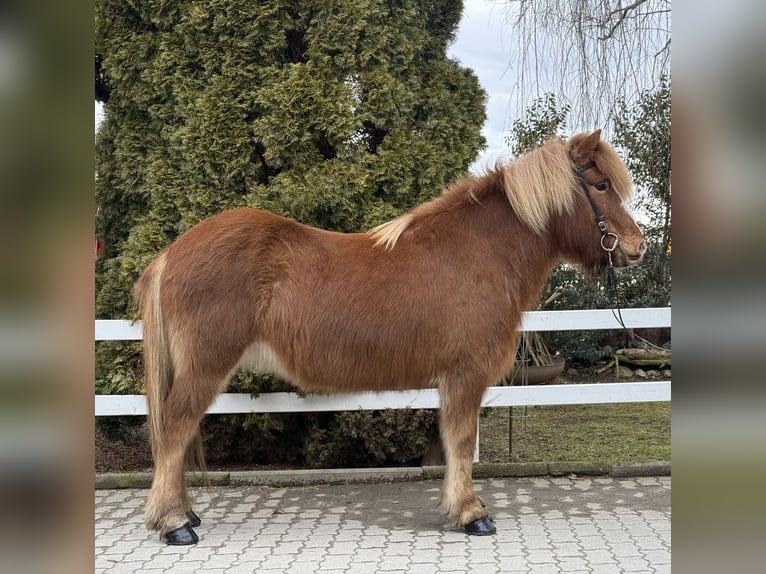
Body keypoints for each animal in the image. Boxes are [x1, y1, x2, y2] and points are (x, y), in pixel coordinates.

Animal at [134, 130, 646, 544]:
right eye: (601, 186)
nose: (637, 247)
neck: (479, 252)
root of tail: (172, 252)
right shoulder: (466, 374)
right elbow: (462, 440)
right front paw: (470, 514)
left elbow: (452, 443)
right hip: (206, 366)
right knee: (175, 428)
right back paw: (173, 523)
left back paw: (184, 514)